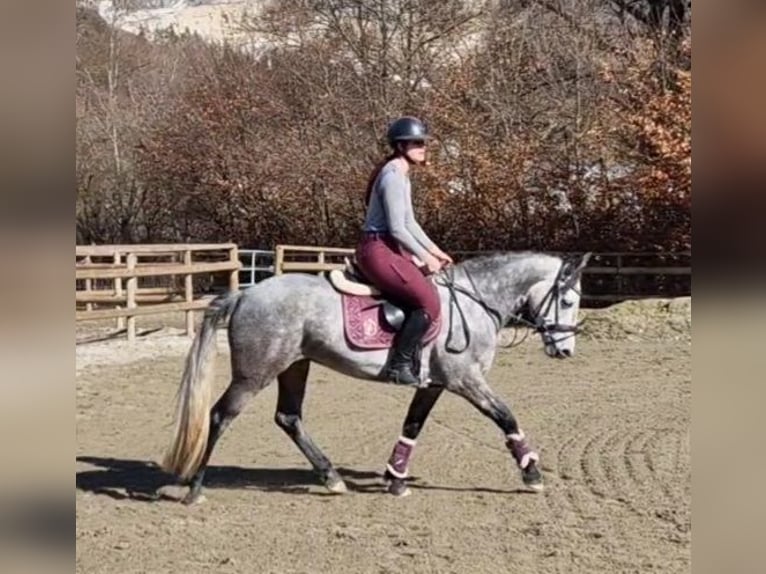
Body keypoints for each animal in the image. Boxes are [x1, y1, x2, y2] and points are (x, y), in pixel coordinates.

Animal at [159, 250, 592, 506]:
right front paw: (532, 472)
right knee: (220, 416)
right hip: (255, 373)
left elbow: (412, 425)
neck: (475, 302)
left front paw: (395, 478)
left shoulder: (434, 384)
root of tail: (246, 295)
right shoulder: (465, 380)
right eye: (568, 299)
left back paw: (332, 478)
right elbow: (505, 416)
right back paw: (195, 488)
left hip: (295, 365)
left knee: (289, 417)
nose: (565, 351)